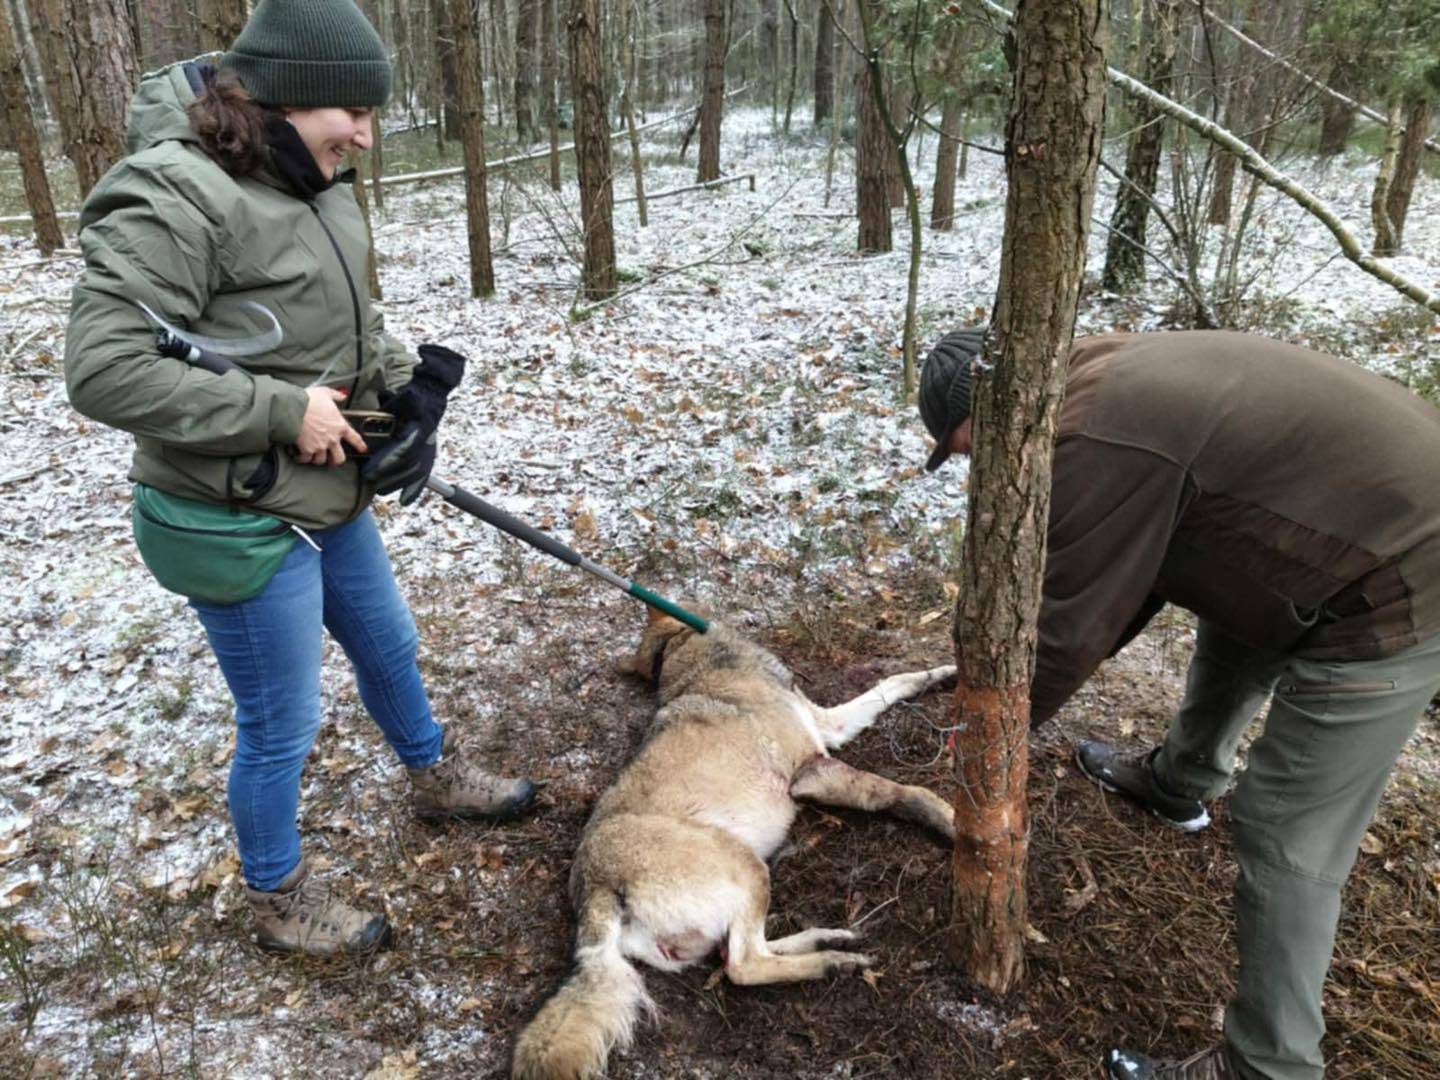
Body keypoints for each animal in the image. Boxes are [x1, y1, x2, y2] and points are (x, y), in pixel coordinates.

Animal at [511, 608, 957, 1080]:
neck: (693, 656)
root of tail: (594, 889)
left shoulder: (828, 724)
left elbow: (891, 683)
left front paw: (945, 673)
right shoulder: (813, 769)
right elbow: (903, 792)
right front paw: (953, 821)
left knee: (741, 950)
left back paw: (823, 940)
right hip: (746, 865)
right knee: (742, 966)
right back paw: (830, 962)